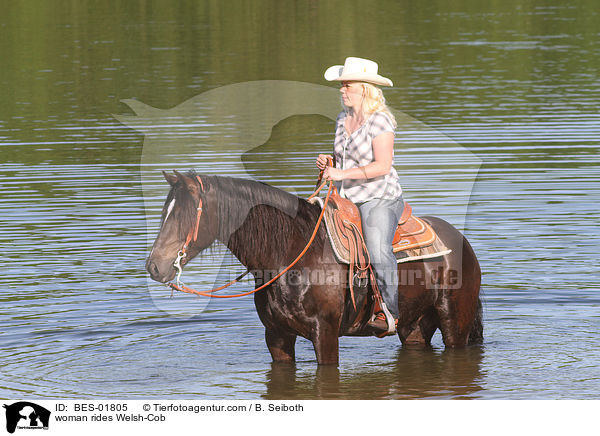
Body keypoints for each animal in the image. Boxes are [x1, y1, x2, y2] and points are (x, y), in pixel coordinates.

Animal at [145, 170, 482, 364]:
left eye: (185, 215)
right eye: (165, 211)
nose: (154, 266)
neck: (287, 254)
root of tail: (461, 240)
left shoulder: (326, 334)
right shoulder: (276, 336)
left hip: (456, 324)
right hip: (414, 328)